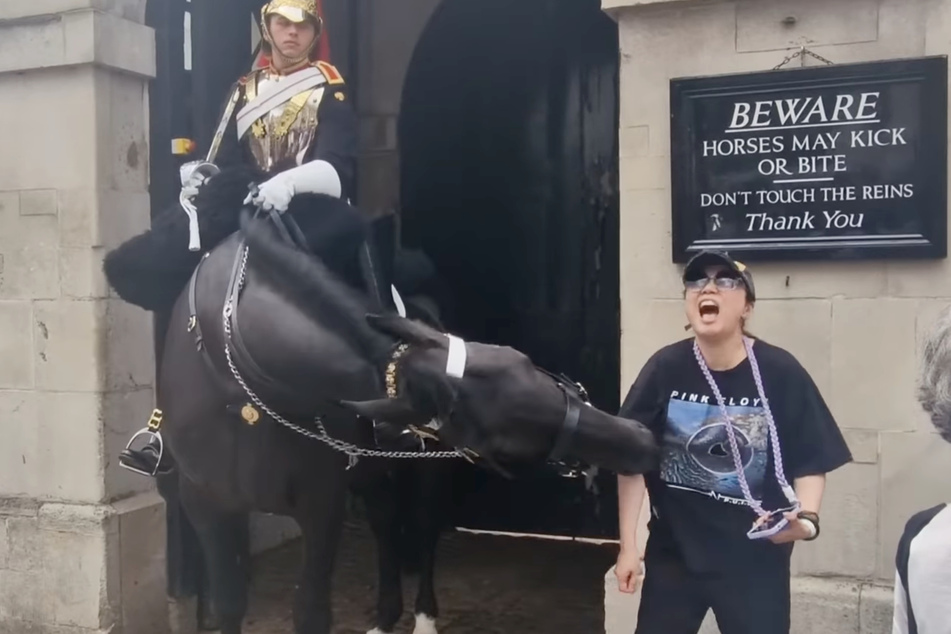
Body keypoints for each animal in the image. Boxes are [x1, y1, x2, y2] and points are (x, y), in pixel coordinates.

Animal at [102, 174, 656, 632]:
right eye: (501, 443)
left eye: (529, 365)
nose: (639, 440)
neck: (239, 378)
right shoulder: (207, 503)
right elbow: (229, 604)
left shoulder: (320, 504)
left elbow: (311, 610)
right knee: (386, 524)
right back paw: (385, 617)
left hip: (423, 470)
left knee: (423, 530)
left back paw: (422, 619)